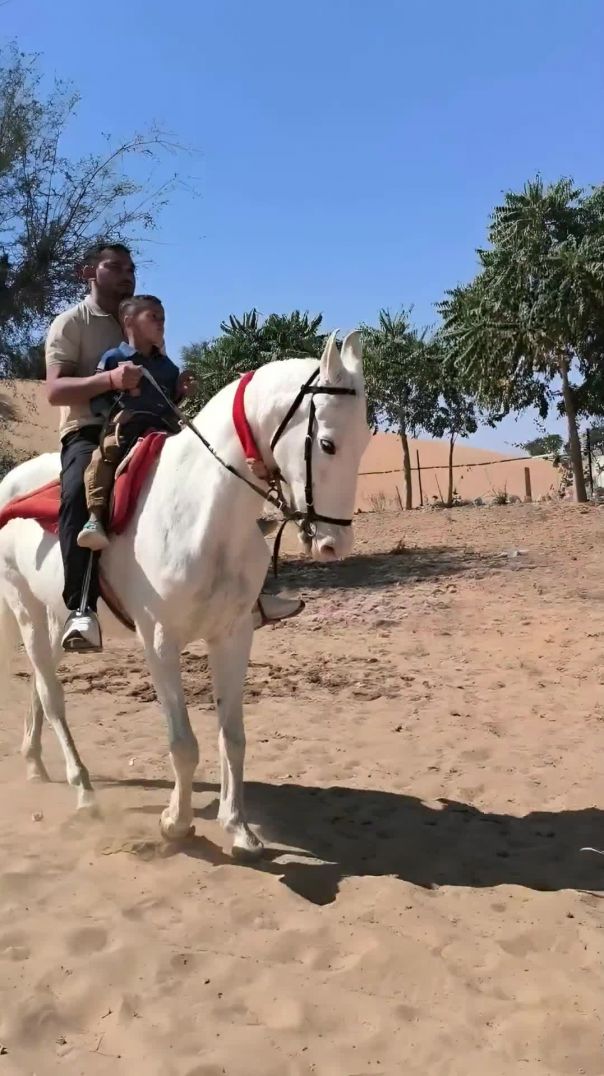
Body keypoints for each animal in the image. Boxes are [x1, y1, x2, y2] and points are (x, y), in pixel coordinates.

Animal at [0, 332, 369, 857]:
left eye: (365, 443)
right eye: (327, 443)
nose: (334, 544)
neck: (203, 511)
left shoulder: (233, 636)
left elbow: (232, 736)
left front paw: (238, 827)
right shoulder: (160, 642)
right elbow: (183, 743)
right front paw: (176, 824)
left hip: (53, 618)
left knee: (38, 683)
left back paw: (34, 763)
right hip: (26, 612)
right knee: (52, 697)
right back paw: (83, 789)